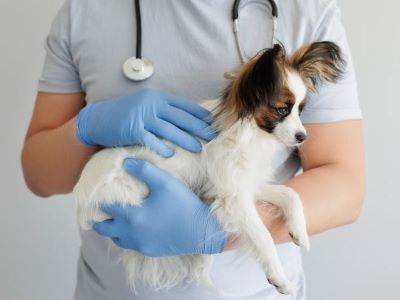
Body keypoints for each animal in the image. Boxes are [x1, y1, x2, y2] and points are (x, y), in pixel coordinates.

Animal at [73, 41, 346, 296]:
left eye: (301, 110)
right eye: (282, 110)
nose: (303, 137)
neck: (248, 133)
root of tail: (81, 196)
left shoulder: (240, 184)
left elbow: (290, 194)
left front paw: (299, 229)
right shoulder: (233, 197)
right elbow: (262, 236)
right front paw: (278, 276)